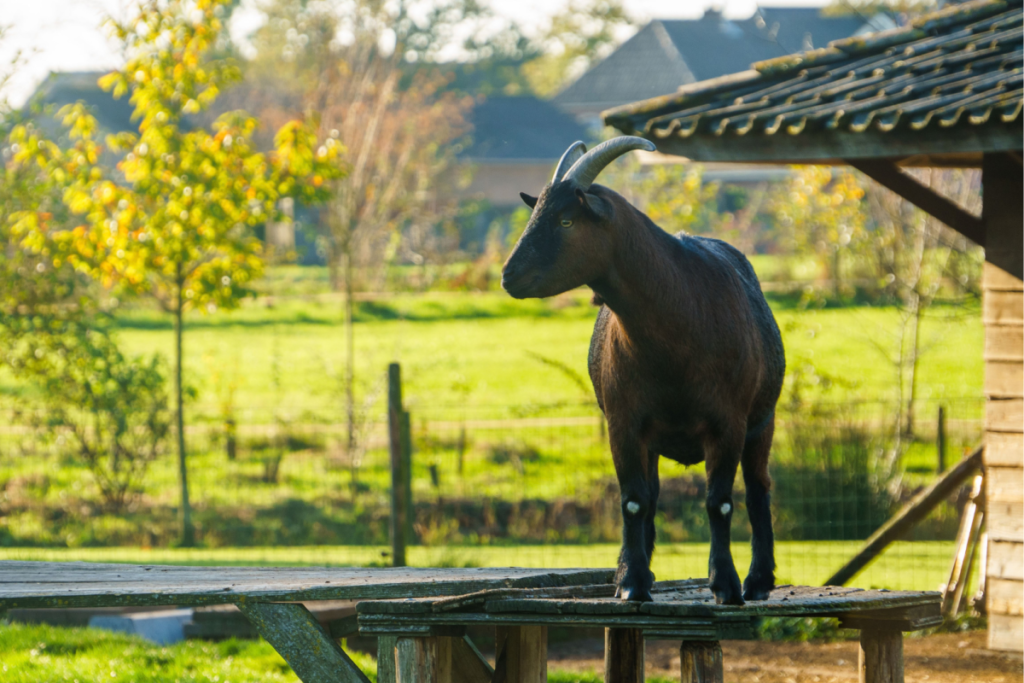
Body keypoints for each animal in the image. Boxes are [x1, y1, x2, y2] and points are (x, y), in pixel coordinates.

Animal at [501, 137, 785, 605]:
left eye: (565, 220)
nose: (509, 276)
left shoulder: (728, 423)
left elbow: (720, 502)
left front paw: (725, 585)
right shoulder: (624, 422)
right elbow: (634, 500)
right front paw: (632, 582)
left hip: (763, 421)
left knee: (759, 487)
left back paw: (759, 581)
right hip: (650, 436)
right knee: (651, 494)